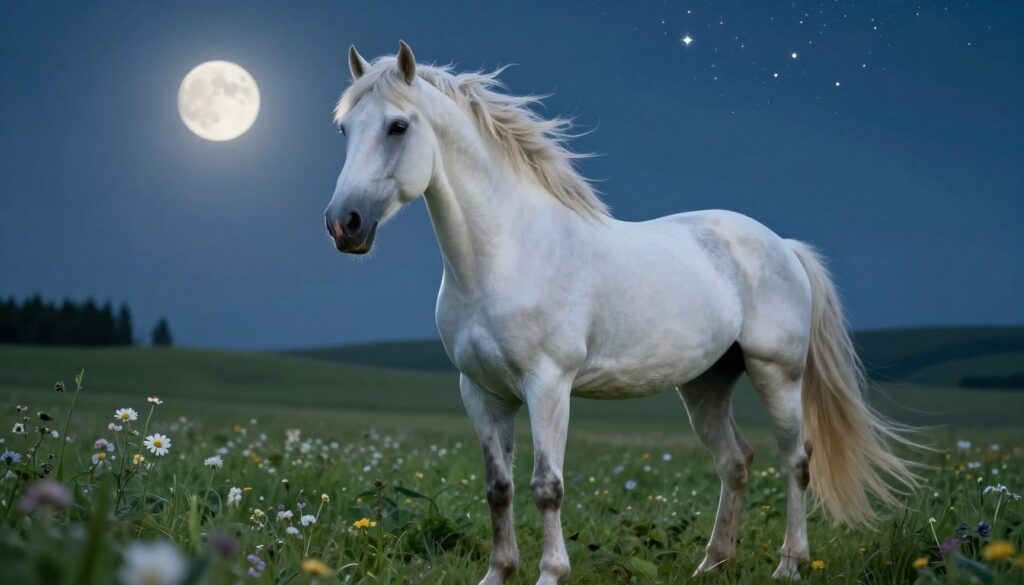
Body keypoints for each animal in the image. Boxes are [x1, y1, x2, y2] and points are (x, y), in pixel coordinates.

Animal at [324, 41, 920, 584]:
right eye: (345, 129)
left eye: (398, 126)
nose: (343, 224)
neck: (506, 254)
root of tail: (783, 246)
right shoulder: (480, 391)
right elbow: (499, 488)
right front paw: (499, 573)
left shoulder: (548, 384)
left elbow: (546, 487)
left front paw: (551, 573)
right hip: (705, 383)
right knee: (736, 461)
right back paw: (712, 563)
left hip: (778, 373)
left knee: (795, 460)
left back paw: (789, 565)